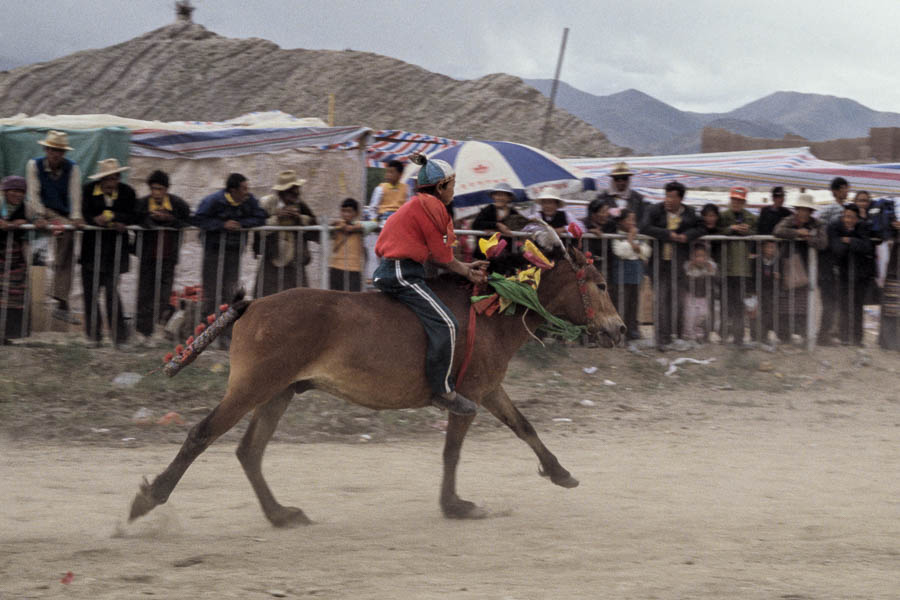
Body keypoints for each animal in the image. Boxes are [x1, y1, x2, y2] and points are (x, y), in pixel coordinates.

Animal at [130, 233, 624, 524]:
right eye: (600, 284)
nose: (618, 329)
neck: (490, 313)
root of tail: (252, 305)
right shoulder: (466, 395)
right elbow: (453, 452)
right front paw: (455, 506)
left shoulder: (488, 390)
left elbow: (525, 427)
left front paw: (560, 473)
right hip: (253, 387)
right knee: (201, 434)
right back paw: (148, 499)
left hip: (279, 392)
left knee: (249, 452)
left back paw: (281, 513)